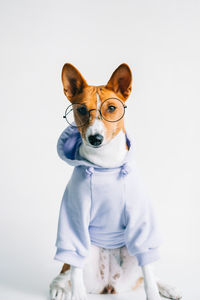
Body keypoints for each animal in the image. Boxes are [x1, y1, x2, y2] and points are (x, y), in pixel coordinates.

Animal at [49, 62, 181, 300]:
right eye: (81, 109)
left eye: (111, 108)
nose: (95, 138)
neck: (105, 165)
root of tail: (109, 285)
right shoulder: (74, 219)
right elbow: (74, 271)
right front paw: (75, 294)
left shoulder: (141, 221)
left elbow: (149, 276)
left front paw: (156, 292)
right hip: (86, 248)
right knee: (66, 270)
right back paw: (59, 287)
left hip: (132, 248)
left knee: (147, 272)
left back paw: (168, 287)